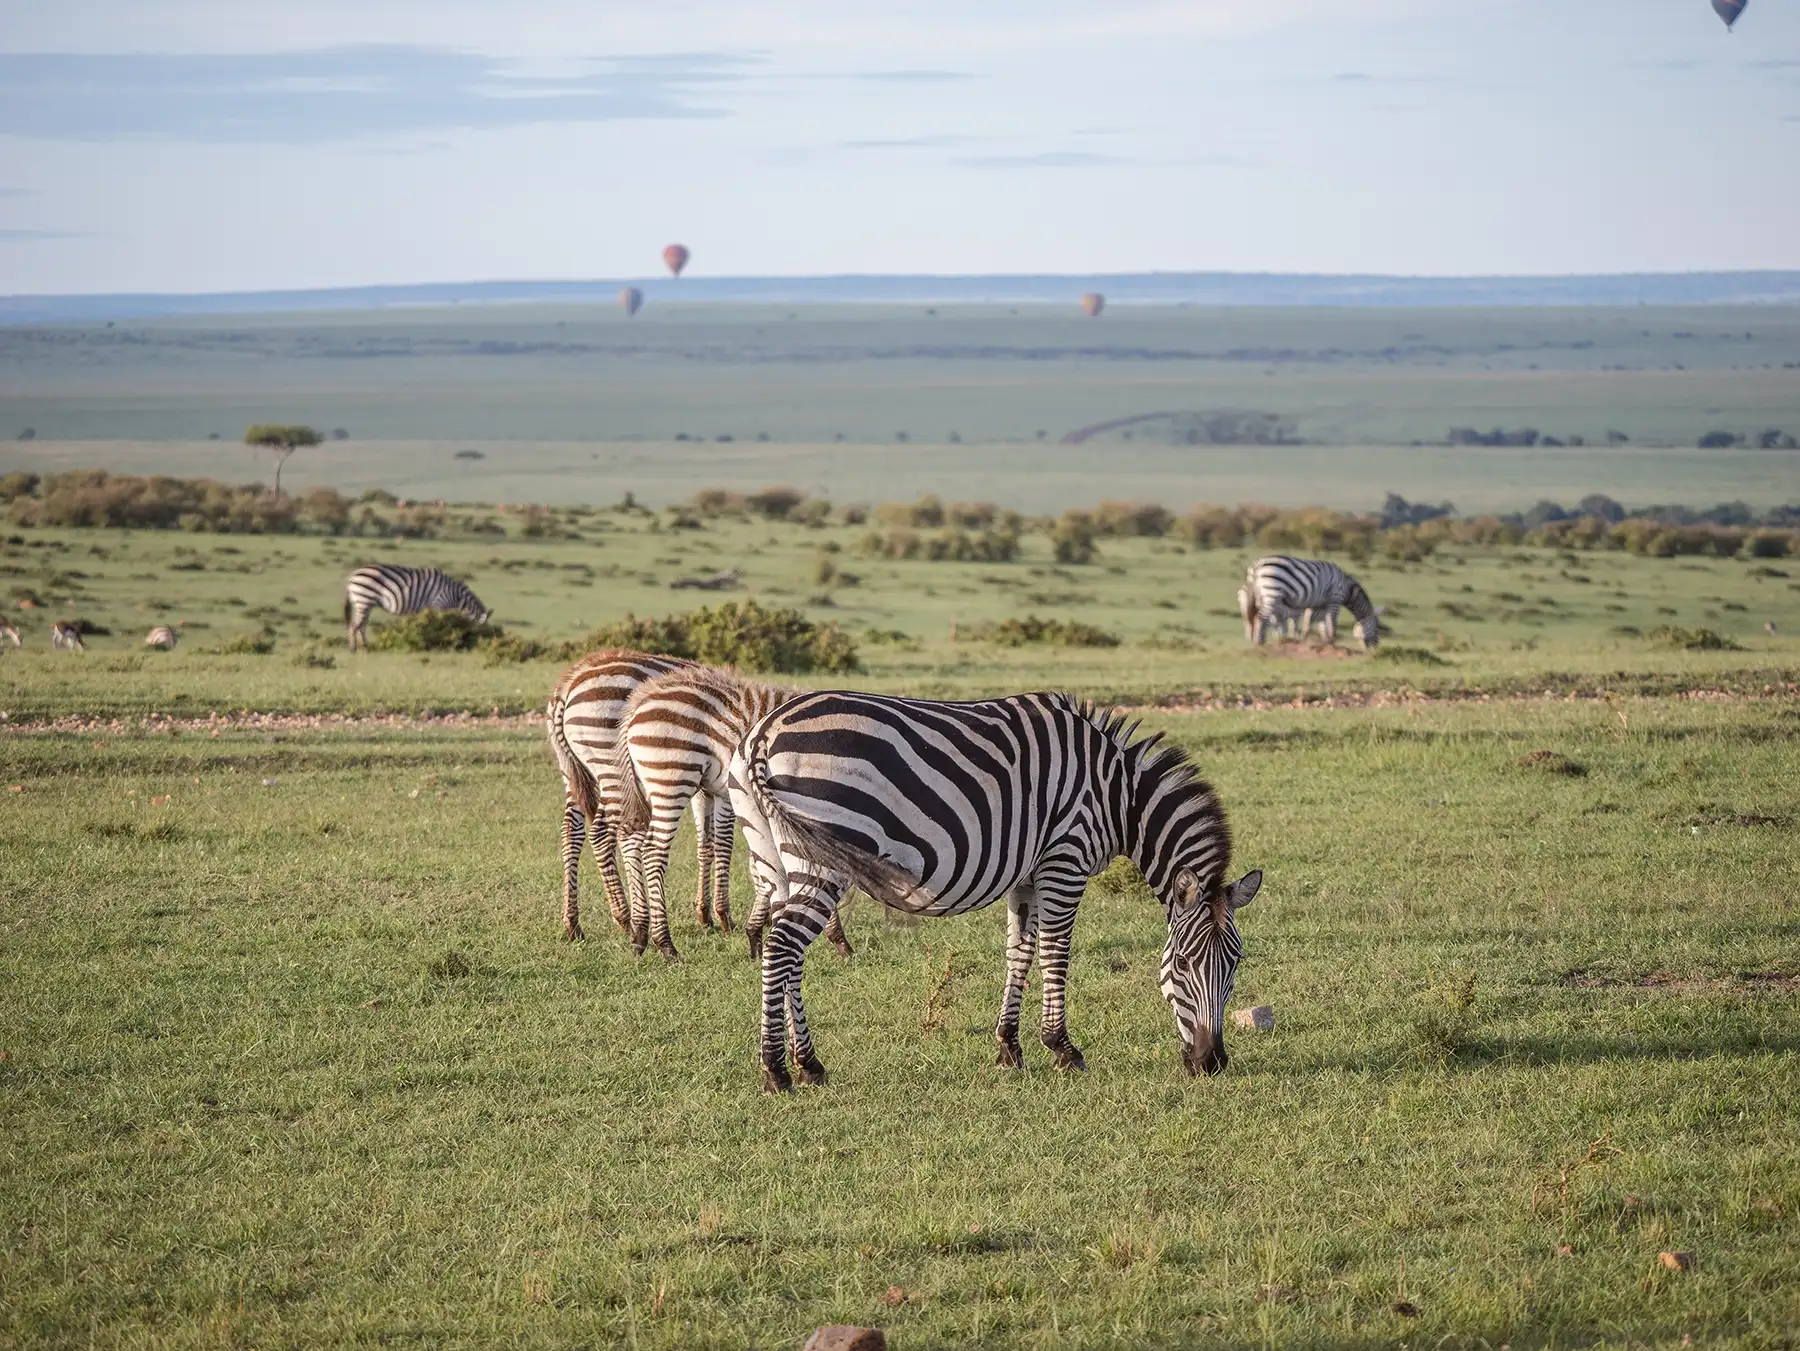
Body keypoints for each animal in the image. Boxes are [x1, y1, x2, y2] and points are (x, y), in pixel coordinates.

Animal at [343, 564, 490, 651]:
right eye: (482, 631)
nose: (480, 645)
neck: (456, 596)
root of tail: (352, 576)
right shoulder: (438, 604)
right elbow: (439, 626)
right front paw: (437, 643)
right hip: (364, 599)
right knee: (354, 625)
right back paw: (353, 649)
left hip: (365, 603)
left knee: (361, 625)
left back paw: (365, 647)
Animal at [547, 648, 700, 942]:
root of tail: (567, 688)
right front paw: (717, 915)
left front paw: (707, 913)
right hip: (613, 767)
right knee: (603, 834)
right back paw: (625, 918)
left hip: (572, 772)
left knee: (571, 831)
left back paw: (573, 924)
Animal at [611, 666, 853, 961]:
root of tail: (640, 701)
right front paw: (834, 936)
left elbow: (763, 865)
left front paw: (758, 928)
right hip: (672, 779)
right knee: (653, 851)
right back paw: (665, 943)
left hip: (644, 785)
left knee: (629, 837)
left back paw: (639, 934)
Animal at [729, 690, 1263, 1093]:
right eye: (1185, 963)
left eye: (1235, 963)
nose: (1211, 1064)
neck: (1119, 797)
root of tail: (763, 734)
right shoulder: (1065, 859)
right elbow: (1054, 952)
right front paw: (1062, 1048)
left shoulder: (1028, 875)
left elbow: (1019, 952)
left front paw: (1009, 1047)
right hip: (823, 853)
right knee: (782, 946)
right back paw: (777, 1071)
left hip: (773, 853)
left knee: (787, 950)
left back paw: (807, 1065)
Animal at [1242, 556, 1381, 649]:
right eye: (1377, 628)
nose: (1375, 648)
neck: (1347, 589)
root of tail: (1256, 565)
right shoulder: (1334, 599)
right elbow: (1331, 622)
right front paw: (1331, 641)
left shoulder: (1319, 604)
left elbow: (1313, 624)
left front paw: (1317, 641)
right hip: (1272, 592)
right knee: (1259, 618)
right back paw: (1259, 643)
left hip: (1259, 596)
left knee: (1253, 618)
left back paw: (1256, 641)